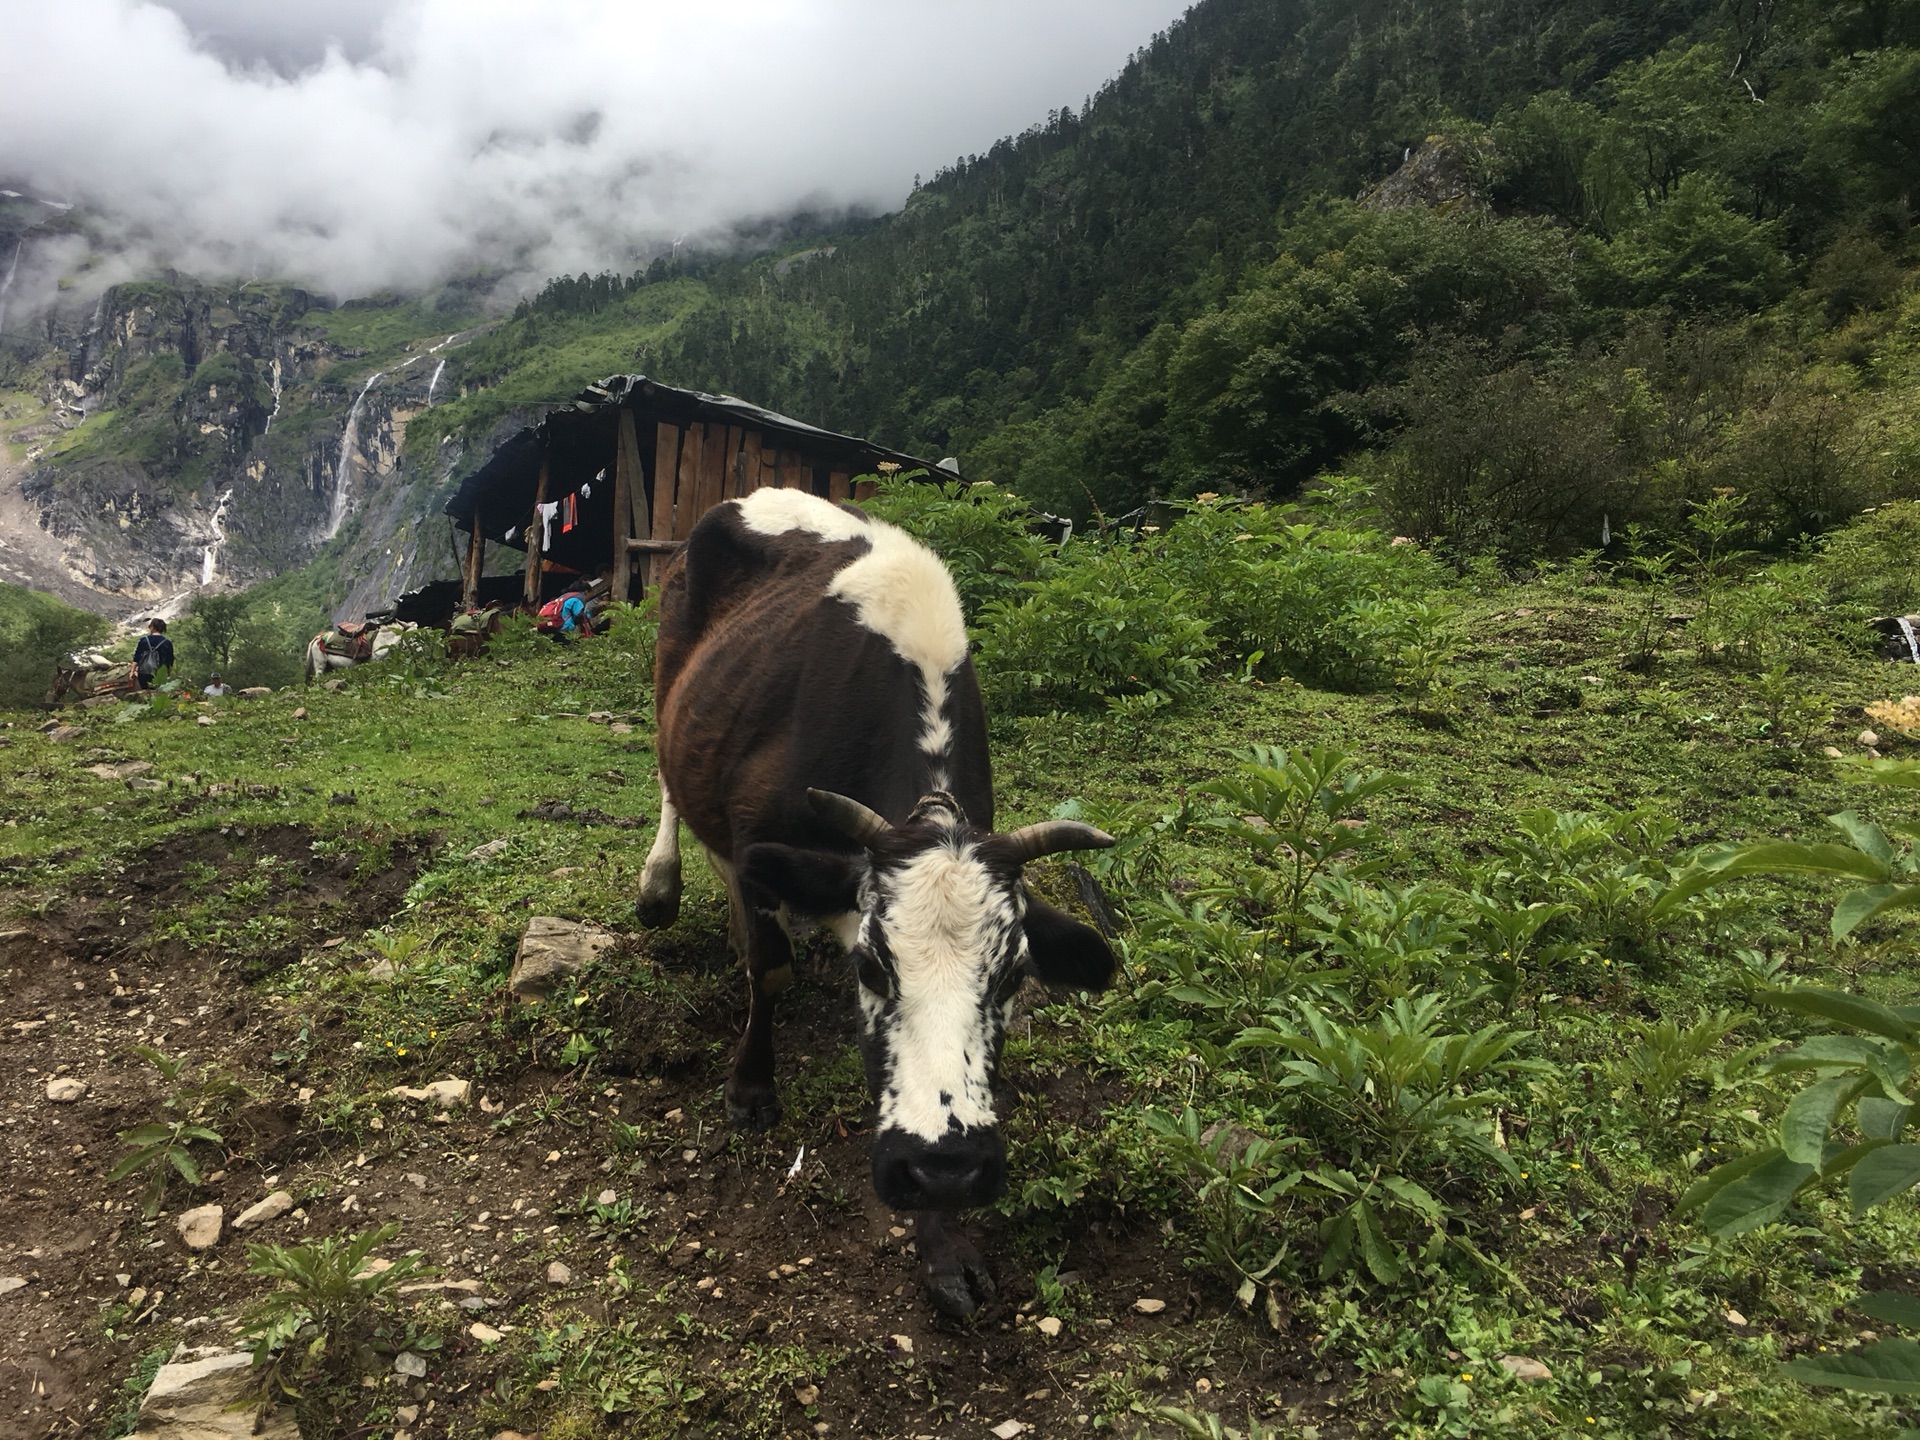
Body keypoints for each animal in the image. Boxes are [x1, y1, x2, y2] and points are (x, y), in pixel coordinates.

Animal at [633, 495, 1113, 1320]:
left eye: (1013, 979)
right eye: (871, 966)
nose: (945, 1169)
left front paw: (944, 1247)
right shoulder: (763, 837)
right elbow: (773, 972)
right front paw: (751, 1088)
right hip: (674, 681)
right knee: (668, 778)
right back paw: (660, 887)